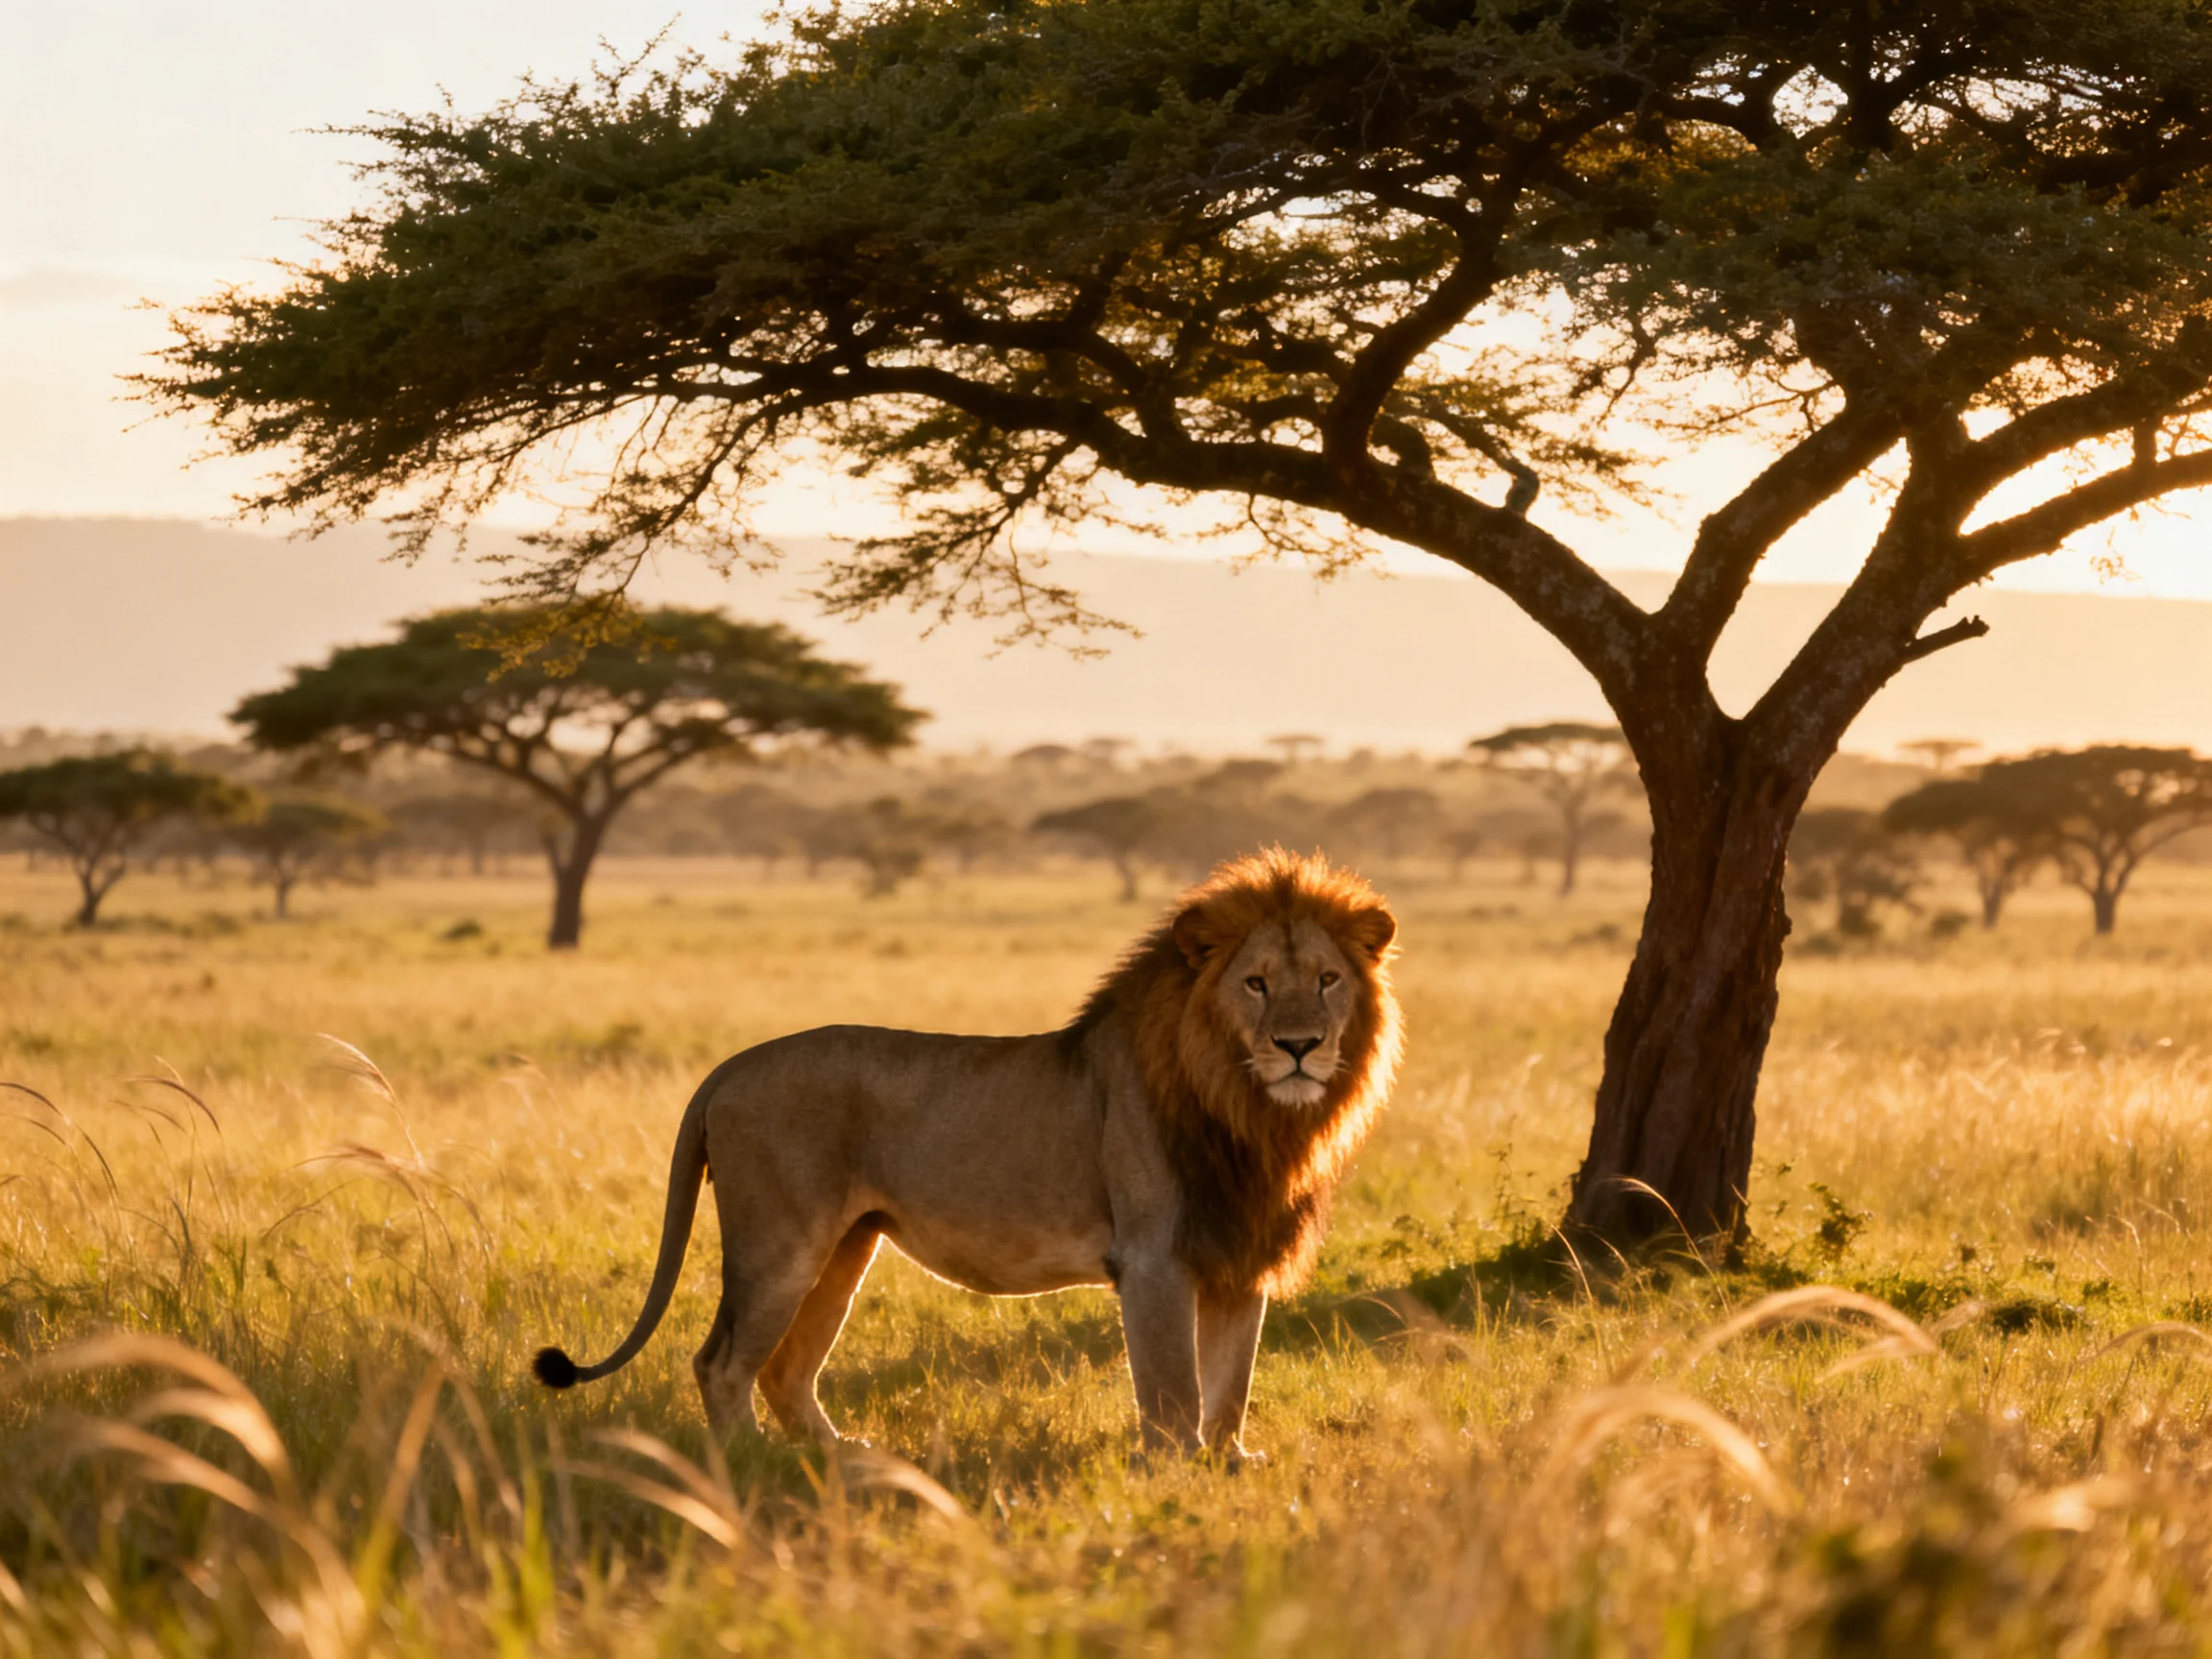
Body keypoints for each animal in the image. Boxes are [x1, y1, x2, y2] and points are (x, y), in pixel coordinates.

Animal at [532, 847, 1401, 1459]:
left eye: (1327, 980)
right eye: (1256, 984)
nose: (1299, 1046)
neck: (1252, 1112)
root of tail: (729, 1069)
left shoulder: (1240, 1256)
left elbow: (1231, 1384)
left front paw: (1228, 1464)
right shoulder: (1154, 1259)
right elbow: (1173, 1389)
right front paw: (1174, 1468)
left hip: (845, 1249)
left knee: (783, 1369)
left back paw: (839, 1458)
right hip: (778, 1243)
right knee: (720, 1364)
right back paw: (750, 1464)